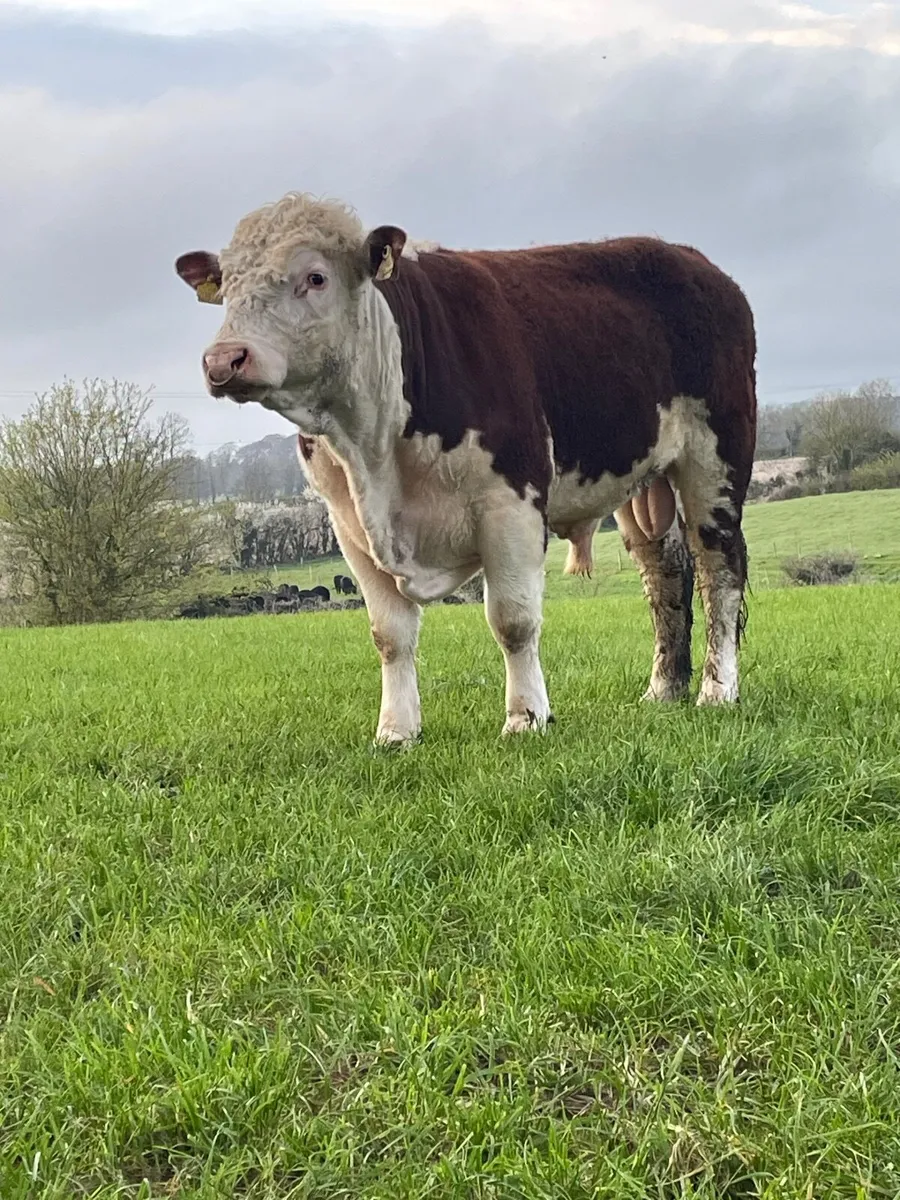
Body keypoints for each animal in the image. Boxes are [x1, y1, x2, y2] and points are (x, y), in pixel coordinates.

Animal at [175, 191, 757, 746]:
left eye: (315, 277)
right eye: (226, 287)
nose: (224, 359)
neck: (375, 449)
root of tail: (693, 261)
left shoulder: (512, 502)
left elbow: (513, 620)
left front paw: (526, 717)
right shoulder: (347, 524)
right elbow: (390, 634)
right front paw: (396, 731)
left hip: (716, 458)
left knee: (719, 567)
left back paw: (717, 690)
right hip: (645, 484)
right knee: (664, 573)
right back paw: (664, 689)